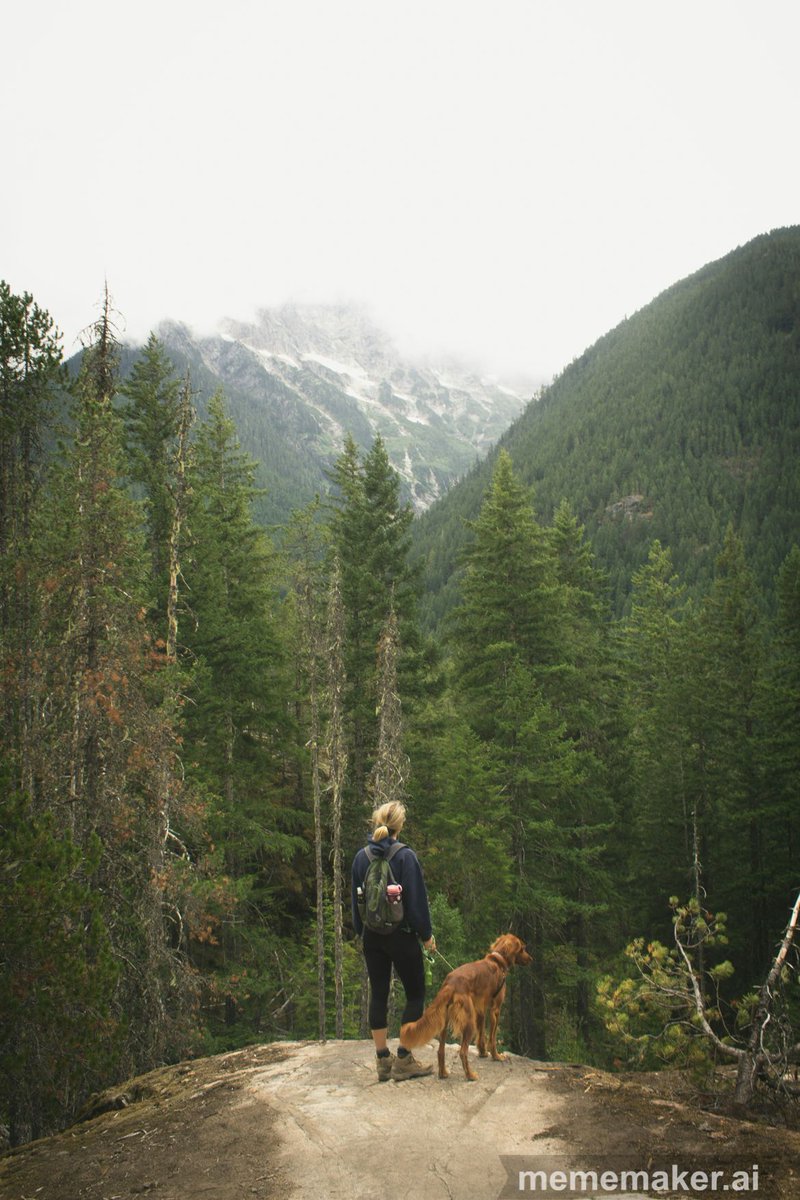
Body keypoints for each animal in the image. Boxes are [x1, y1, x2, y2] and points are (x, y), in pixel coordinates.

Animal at [398, 931, 532, 1084]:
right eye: (522, 948)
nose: (531, 959)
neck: (498, 961)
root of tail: (450, 983)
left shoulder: (480, 1010)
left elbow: (481, 1035)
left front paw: (482, 1052)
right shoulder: (495, 1009)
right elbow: (492, 1038)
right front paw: (496, 1056)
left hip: (445, 1021)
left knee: (441, 1051)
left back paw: (443, 1073)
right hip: (468, 1021)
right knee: (462, 1052)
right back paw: (470, 1075)